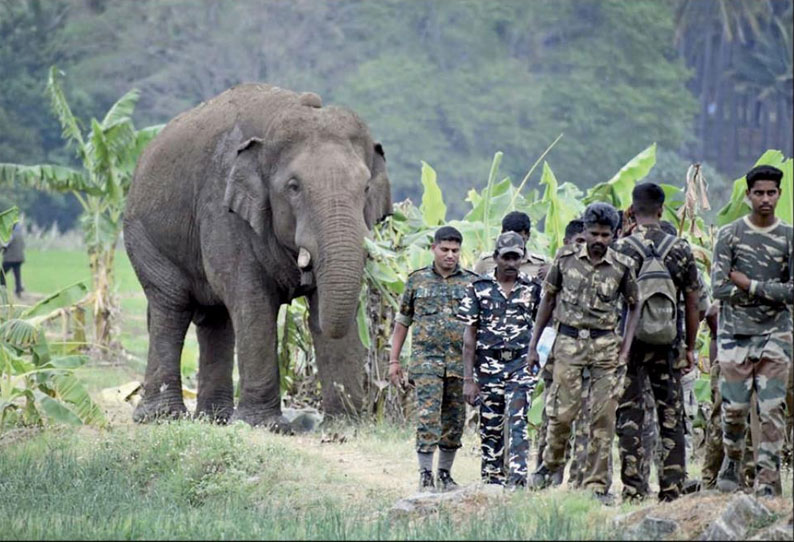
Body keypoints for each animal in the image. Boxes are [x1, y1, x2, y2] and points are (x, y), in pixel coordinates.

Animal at [123, 84, 390, 430]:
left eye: (366, 187)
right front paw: (263, 425)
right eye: (293, 187)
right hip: (144, 238)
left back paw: (215, 419)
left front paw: (344, 426)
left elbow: (323, 302)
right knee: (172, 308)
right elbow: (252, 300)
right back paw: (162, 418)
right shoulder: (223, 209)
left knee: (215, 319)